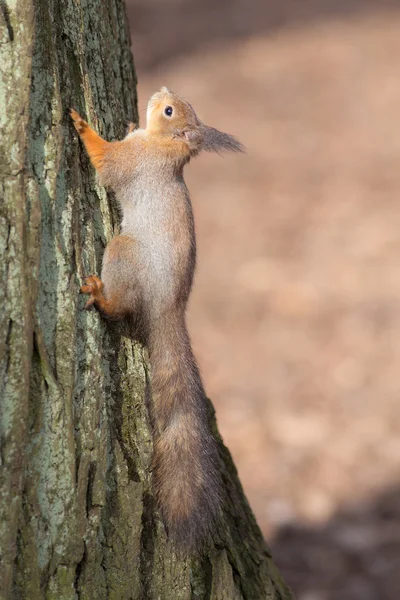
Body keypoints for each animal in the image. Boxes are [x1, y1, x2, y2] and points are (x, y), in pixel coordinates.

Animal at [71, 86, 244, 552]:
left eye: (168, 111)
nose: (161, 91)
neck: (165, 149)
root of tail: (169, 308)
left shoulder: (133, 163)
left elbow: (106, 160)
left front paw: (82, 124)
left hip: (123, 253)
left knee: (120, 305)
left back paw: (101, 296)